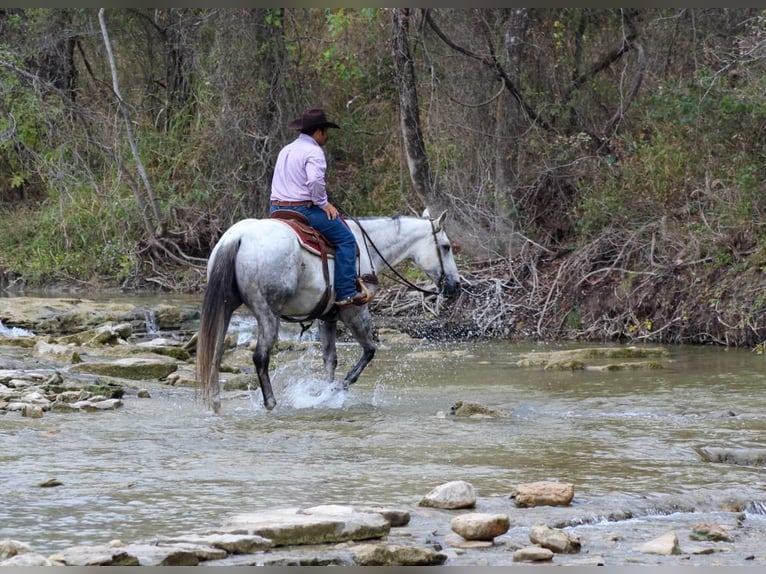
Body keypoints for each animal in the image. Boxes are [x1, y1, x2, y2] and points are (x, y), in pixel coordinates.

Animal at [195, 209, 461, 414]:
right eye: (446, 247)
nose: (456, 286)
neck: (366, 246)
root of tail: (237, 237)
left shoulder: (328, 317)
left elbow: (330, 359)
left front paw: (327, 393)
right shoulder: (355, 311)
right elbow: (369, 352)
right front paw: (333, 392)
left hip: (227, 307)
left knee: (215, 352)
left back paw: (216, 403)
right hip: (267, 312)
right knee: (260, 356)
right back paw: (271, 403)